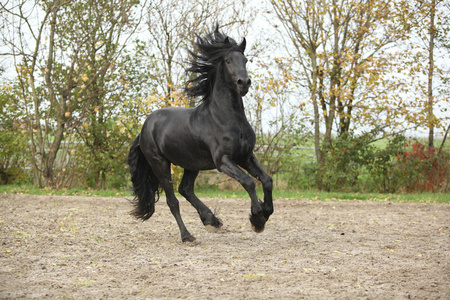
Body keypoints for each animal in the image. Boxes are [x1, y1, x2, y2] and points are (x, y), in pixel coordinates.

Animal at [128, 24, 272, 243]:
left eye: (245, 60)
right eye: (228, 60)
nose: (244, 83)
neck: (226, 118)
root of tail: (145, 126)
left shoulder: (245, 156)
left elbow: (266, 180)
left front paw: (267, 211)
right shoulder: (223, 160)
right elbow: (248, 181)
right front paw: (257, 218)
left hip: (191, 163)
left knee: (185, 189)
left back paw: (211, 220)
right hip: (159, 164)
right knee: (173, 200)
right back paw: (187, 235)